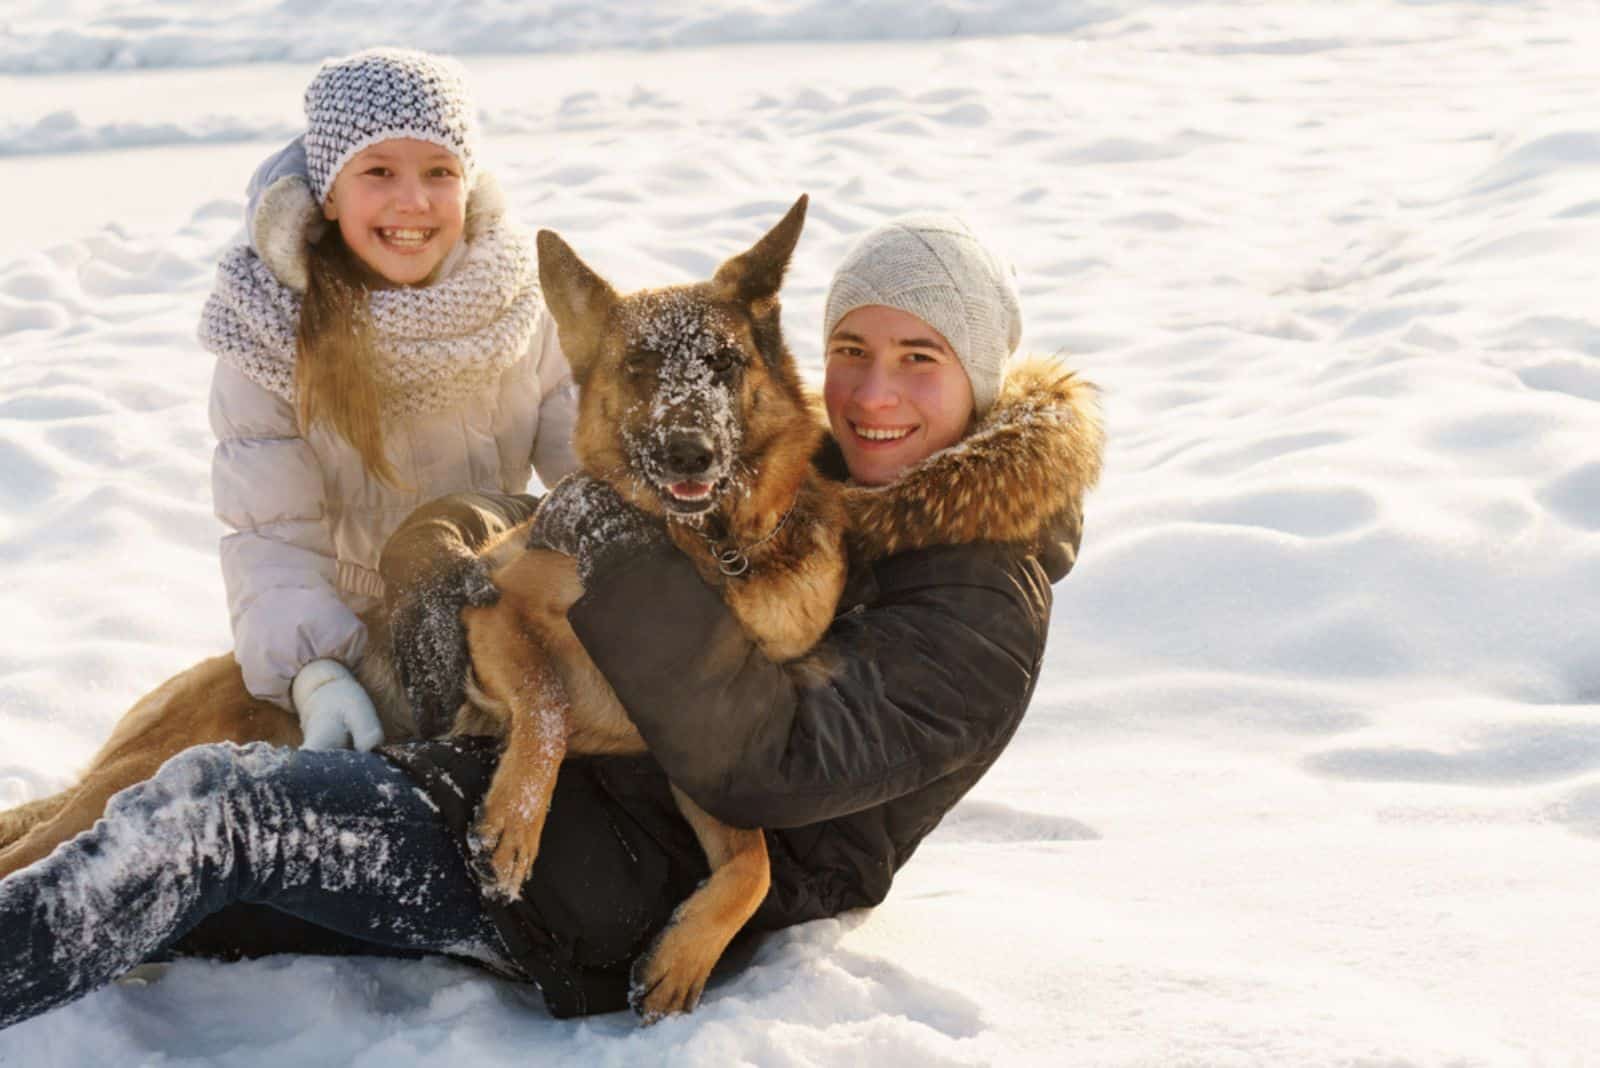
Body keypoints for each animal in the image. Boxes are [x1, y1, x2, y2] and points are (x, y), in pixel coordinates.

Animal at [0, 195, 851, 1023]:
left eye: (724, 364)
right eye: (640, 367)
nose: (689, 453)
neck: (700, 556)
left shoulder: (698, 755)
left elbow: (753, 863)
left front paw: (683, 958)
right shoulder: (491, 609)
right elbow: (547, 703)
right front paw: (515, 822)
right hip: (125, 784)